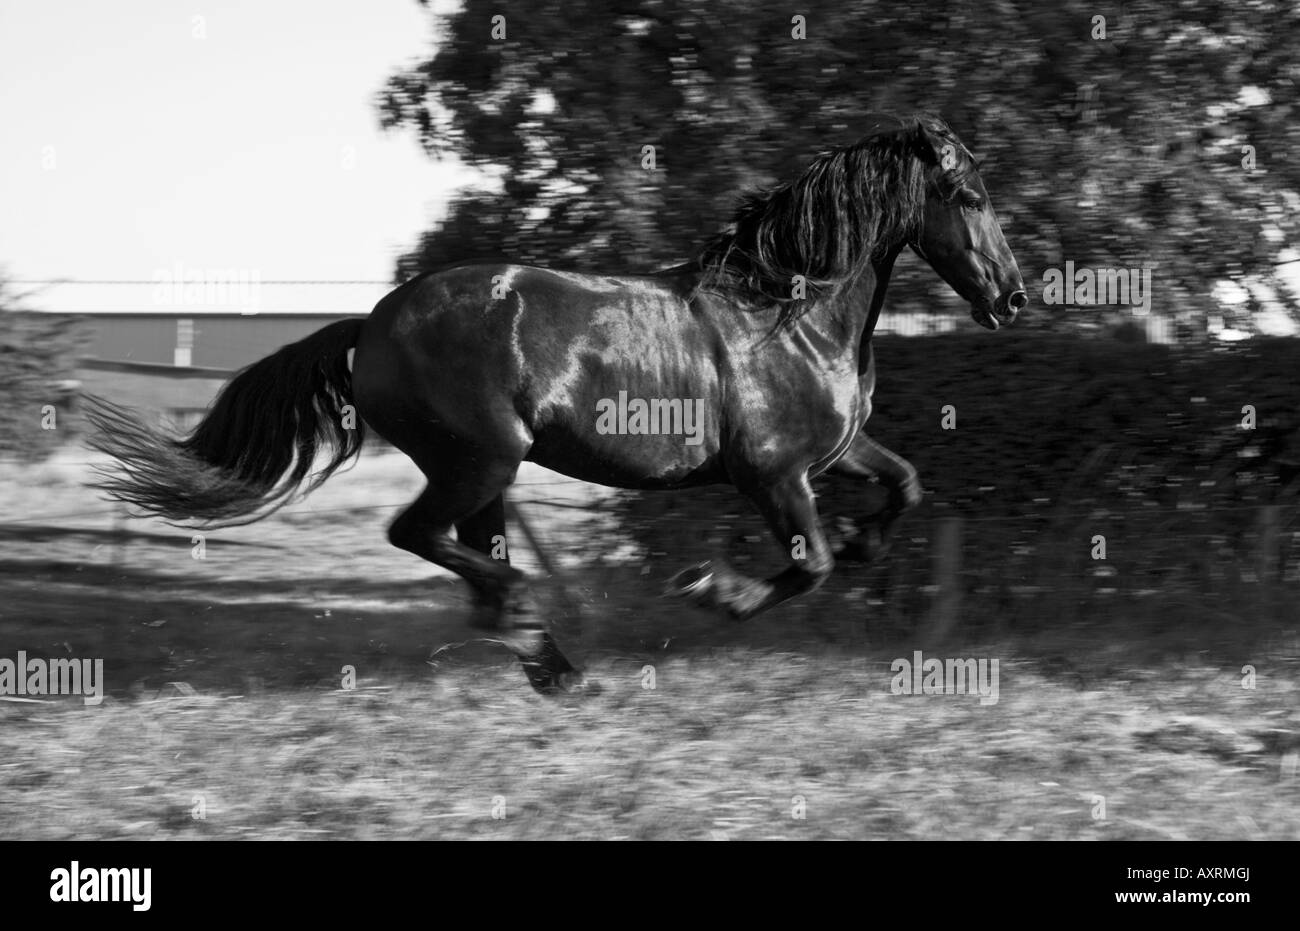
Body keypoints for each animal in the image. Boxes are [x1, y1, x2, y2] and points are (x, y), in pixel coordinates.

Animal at [85, 114, 1026, 694]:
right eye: (969, 198)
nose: (1011, 299)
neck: (786, 314)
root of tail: (374, 321)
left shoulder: (833, 452)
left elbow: (903, 485)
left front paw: (866, 542)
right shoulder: (774, 474)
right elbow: (809, 564)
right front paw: (711, 589)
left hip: (484, 469)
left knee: (467, 548)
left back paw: (549, 659)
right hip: (482, 457)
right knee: (424, 537)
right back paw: (536, 629)